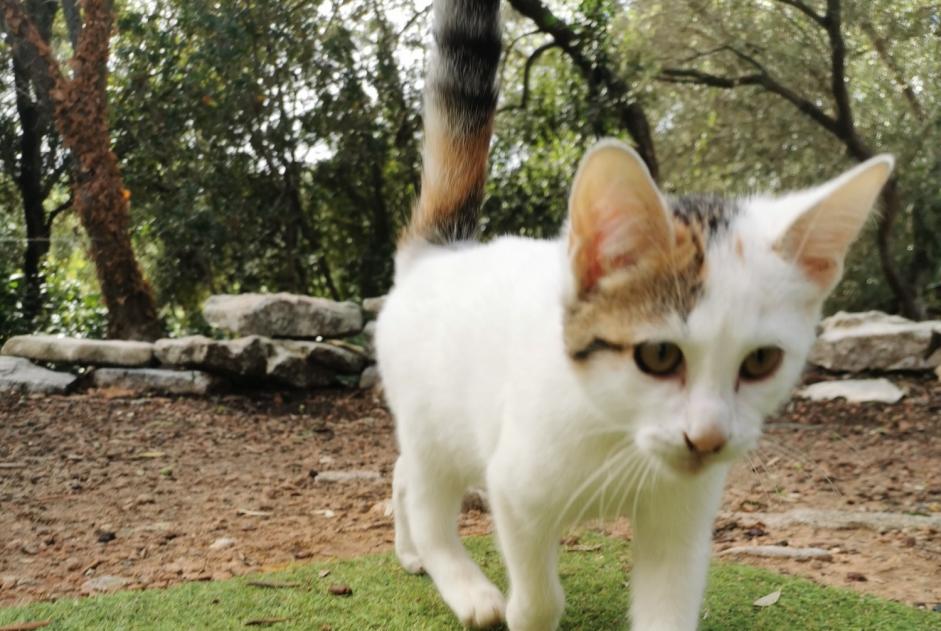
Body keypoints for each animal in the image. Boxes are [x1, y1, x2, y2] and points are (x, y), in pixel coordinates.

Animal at [372, 2, 888, 628]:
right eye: (659, 355)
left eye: (761, 361)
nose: (707, 438)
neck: (619, 434)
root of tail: (439, 252)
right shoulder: (516, 486)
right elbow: (540, 596)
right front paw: (523, 608)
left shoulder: (681, 514)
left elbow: (668, 600)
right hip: (434, 422)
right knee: (426, 492)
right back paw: (462, 583)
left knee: (404, 473)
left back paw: (409, 553)